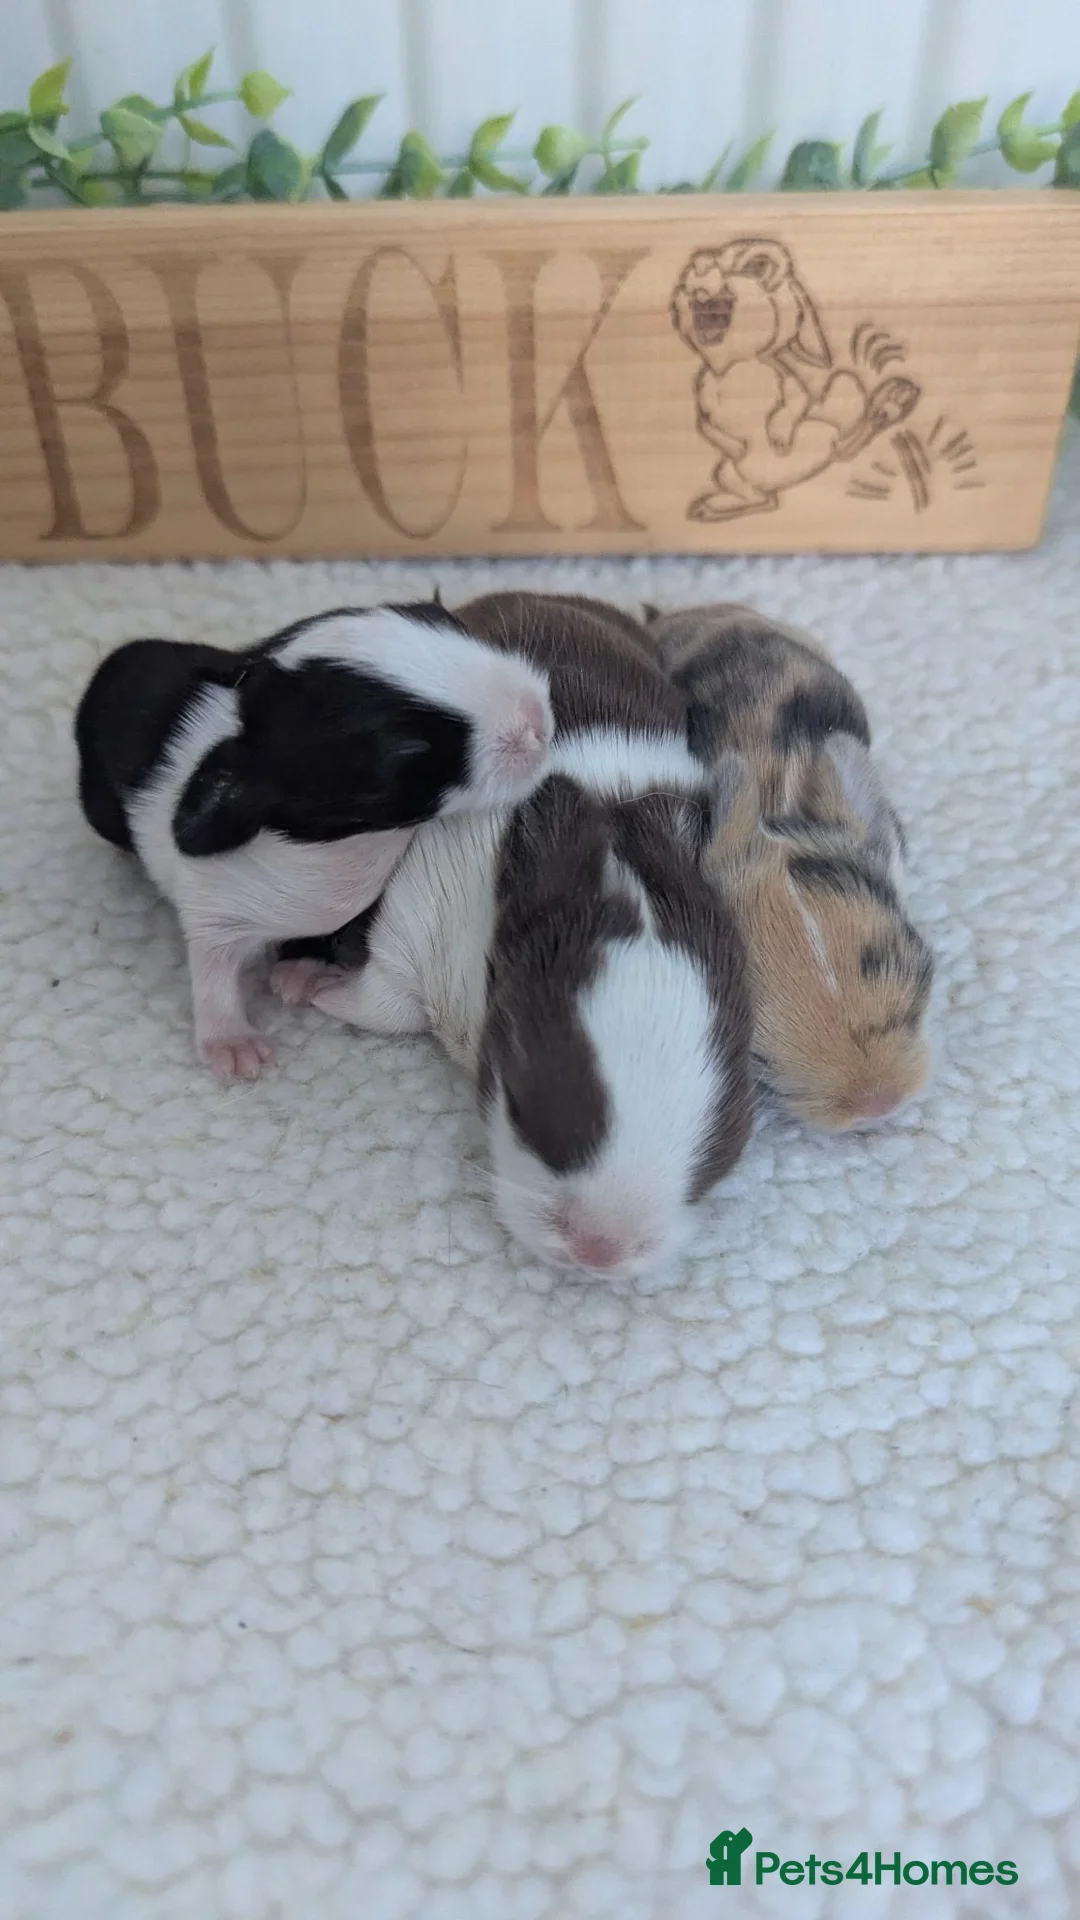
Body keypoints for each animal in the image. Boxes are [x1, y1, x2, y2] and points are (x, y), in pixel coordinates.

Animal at [74, 599, 554, 1080]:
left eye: (451, 627)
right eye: (408, 751)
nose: (537, 719)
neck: (360, 849)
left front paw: (305, 967)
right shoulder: (213, 907)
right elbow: (214, 967)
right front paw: (230, 1040)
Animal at [274, 593, 752, 1282]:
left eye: (724, 1140)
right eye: (518, 1101)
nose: (601, 1252)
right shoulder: (422, 903)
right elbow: (385, 1000)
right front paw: (312, 985)